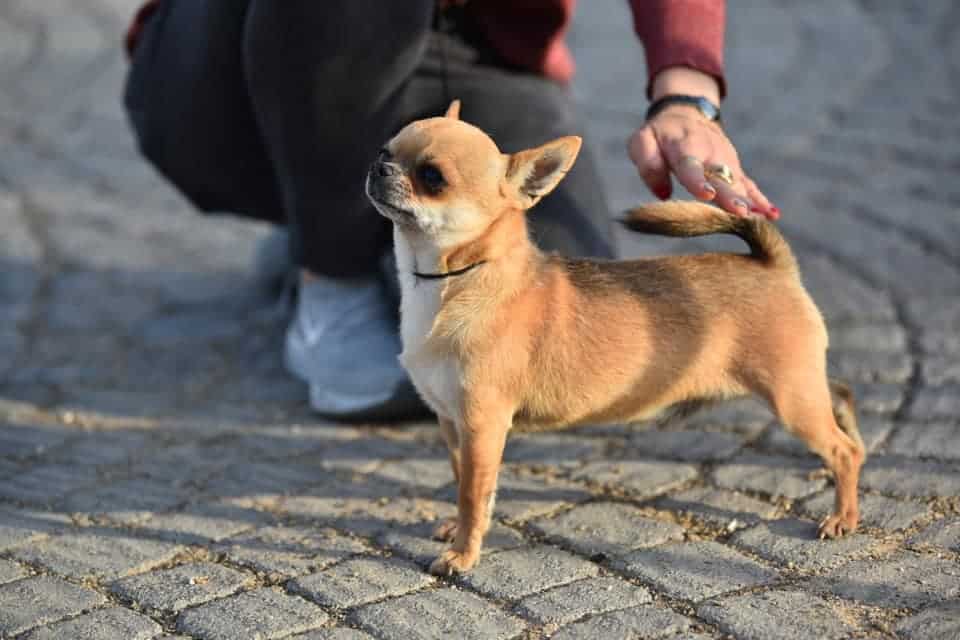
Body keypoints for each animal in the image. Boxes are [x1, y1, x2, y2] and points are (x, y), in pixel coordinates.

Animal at [364, 100, 868, 576]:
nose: (378, 167)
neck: (450, 281)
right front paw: (458, 530)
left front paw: (463, 553)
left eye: (433, 177)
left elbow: (473, 492)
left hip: (789, 398)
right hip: (800, 387)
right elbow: (463, 481)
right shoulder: (453, 424)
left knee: (844, 451)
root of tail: (772, 263)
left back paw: (842, 516)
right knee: (841, 398)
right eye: (385, 150)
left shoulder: (481, 427)